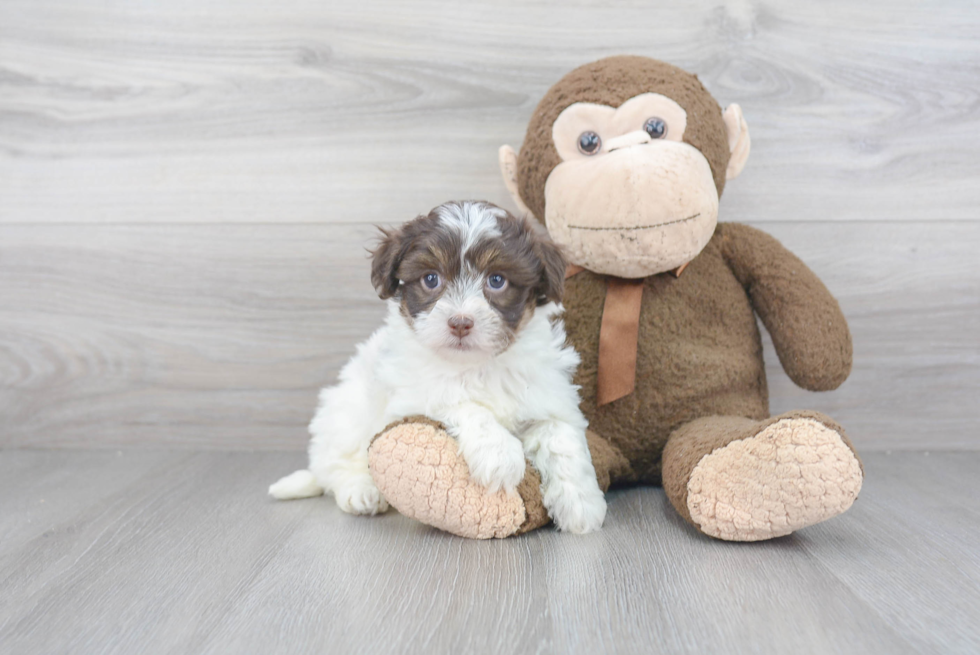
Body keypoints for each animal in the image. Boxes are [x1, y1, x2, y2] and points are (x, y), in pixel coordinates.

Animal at [268, 202, 604, 536]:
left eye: (497, 280)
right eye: (431, 279)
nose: (460, 322)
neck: (477, 365)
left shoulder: (548, 395)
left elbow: (561, 437)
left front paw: (581, 502)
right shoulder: (412, 395)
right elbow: (460, 402)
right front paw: (500, 454)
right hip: (346, 411)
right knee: (336, 463)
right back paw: (361, 490)